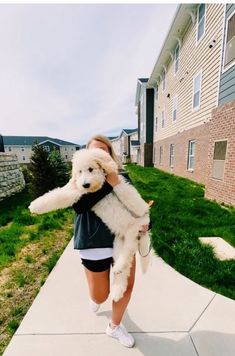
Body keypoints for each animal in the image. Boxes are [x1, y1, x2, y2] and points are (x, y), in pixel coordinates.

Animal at [29, 147, 151, 300]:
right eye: (80, 171)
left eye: (91, 169)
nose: (85, 184)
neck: (96, 188)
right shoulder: (78, 191)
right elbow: (59, 193)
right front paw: (36, 205)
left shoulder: (105, 188)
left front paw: (35, 206)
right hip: (118, 242)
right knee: (123, 269)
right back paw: (117, 288)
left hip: (133, 232)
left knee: (128, 251)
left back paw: (118, 270)